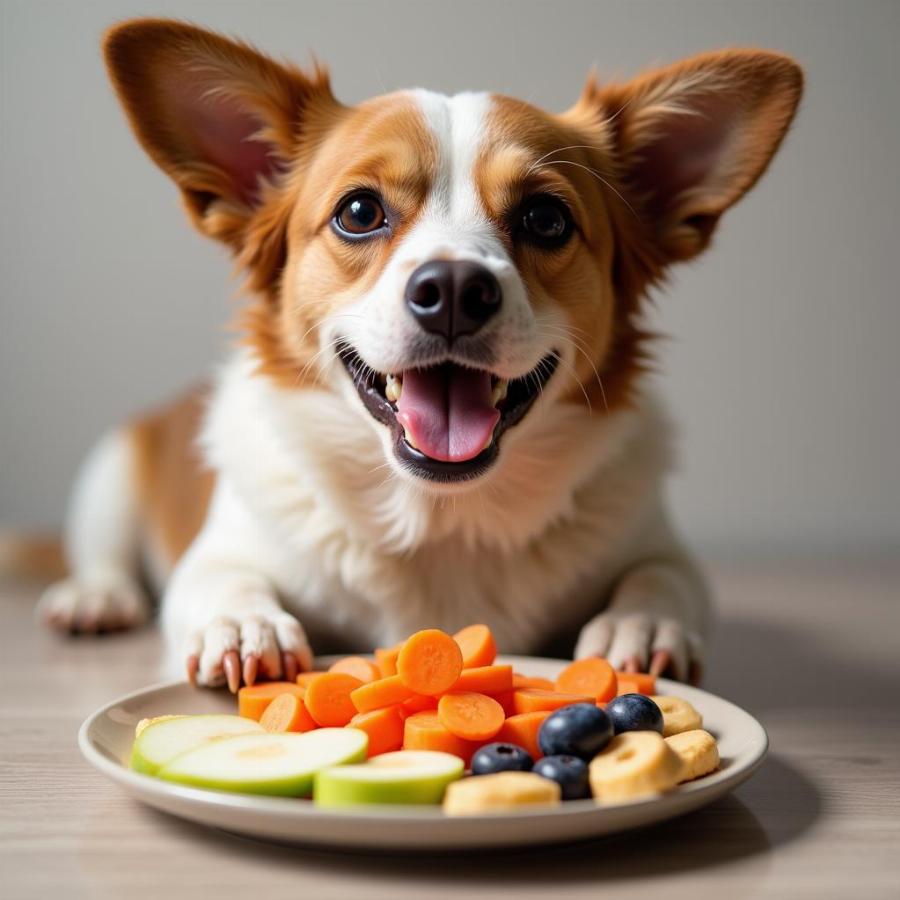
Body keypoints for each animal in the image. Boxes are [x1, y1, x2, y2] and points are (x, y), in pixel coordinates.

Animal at [35, 19, 800, 688]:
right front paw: (244, 625)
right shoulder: (221, 547)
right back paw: (94, 599)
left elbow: (665, 578)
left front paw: (639, 625)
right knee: (103, 556)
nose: (455, 289)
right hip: (110, 471)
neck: (442, 519)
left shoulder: (659, 545)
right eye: (359, 212)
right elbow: (217, 578)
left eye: (545, 219)